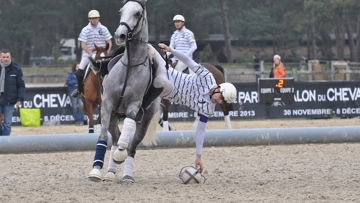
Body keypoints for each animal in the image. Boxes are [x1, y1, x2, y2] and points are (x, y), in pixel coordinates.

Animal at [88, 0, 163, 182]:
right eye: (121, 11)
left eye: (138, 13)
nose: (120, 35)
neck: (130, 65)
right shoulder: (107, 105)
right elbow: (103, 137)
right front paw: (96, 170)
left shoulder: (133, 107)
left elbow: (126, 140)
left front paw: (119, 156)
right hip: (113, 116)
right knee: (115, 138)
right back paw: (110, 172)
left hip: (145, 118)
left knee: (133, 144)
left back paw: (127, 174)